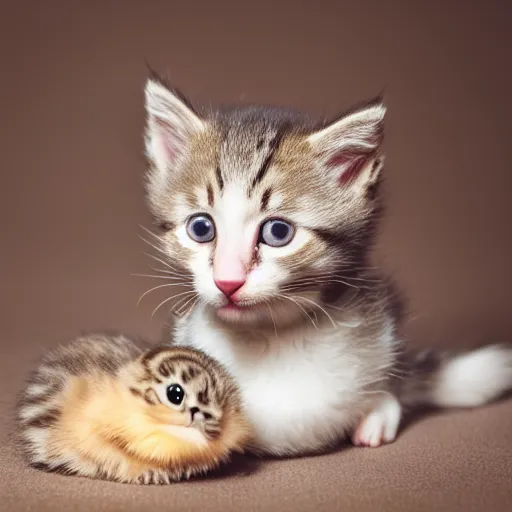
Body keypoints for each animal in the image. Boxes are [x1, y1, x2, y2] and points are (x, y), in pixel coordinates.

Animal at [142, 73, 512, 456]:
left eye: (278, 232)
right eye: (201, 228)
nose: (227, 282)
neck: (267, 338)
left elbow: (391, 391)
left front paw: (377, 414)